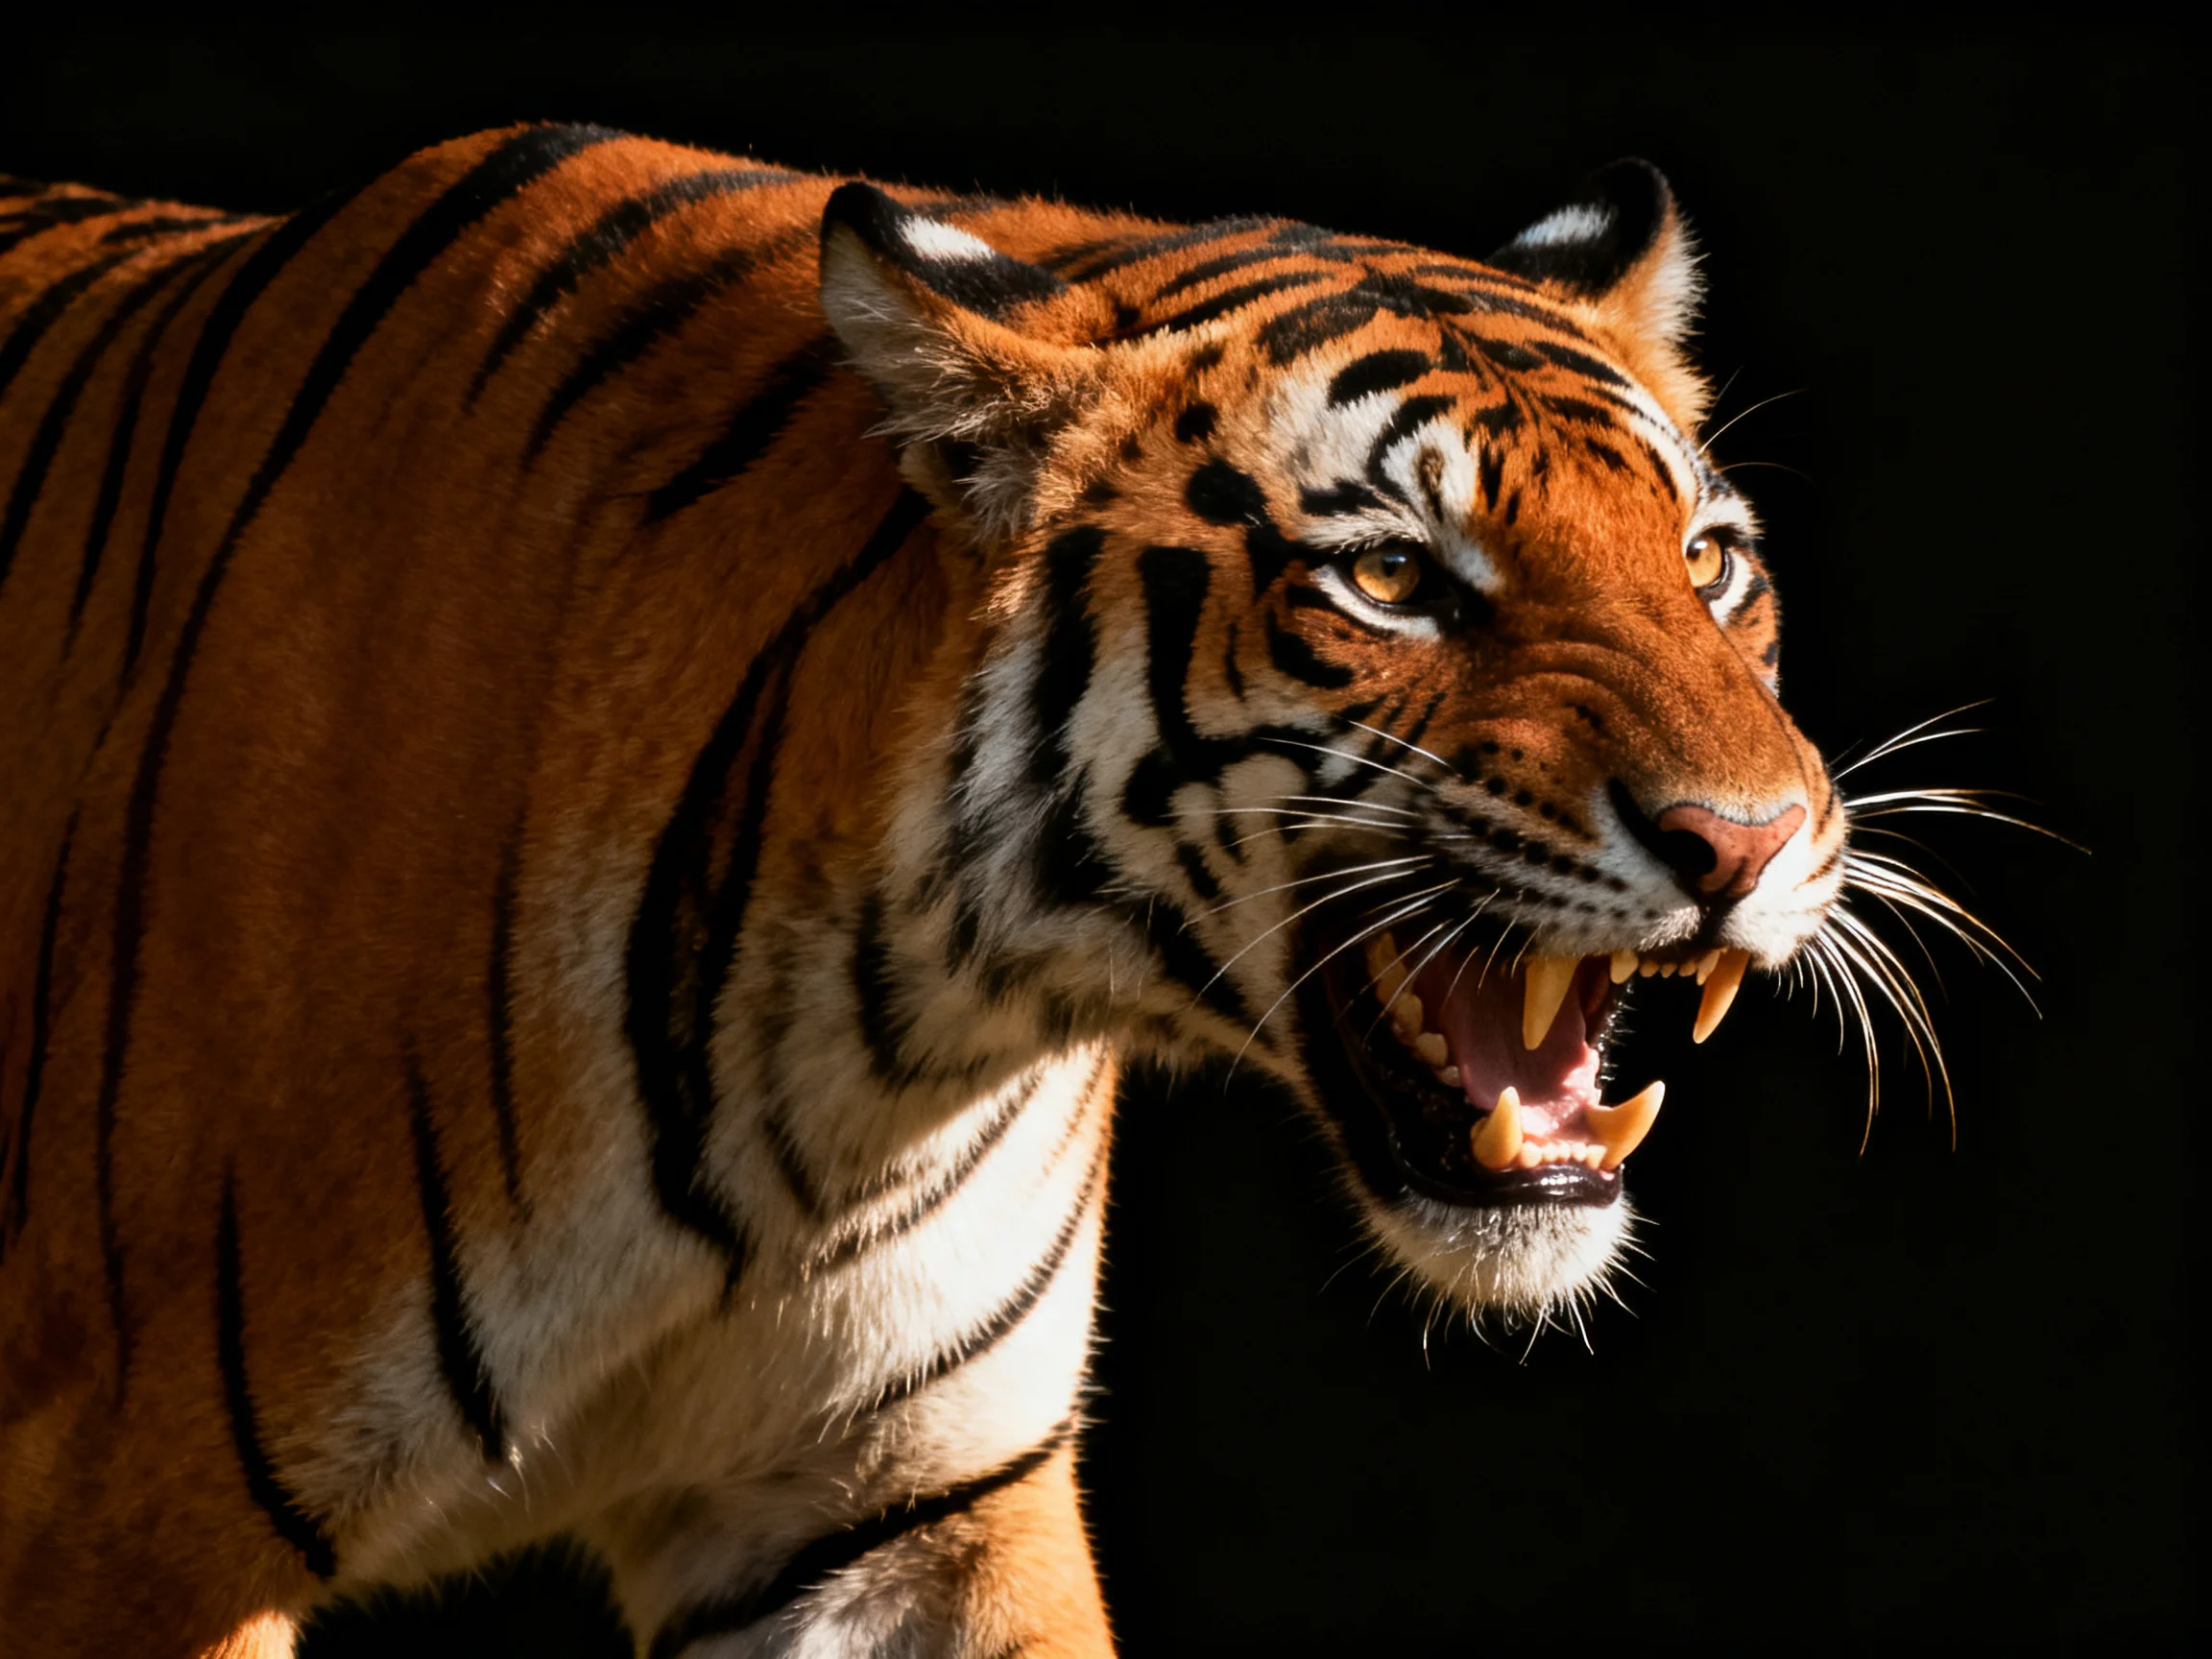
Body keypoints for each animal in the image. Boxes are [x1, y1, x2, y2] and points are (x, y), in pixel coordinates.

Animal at [0, 124, 1845, 1655]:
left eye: (1705, 562)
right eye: (1391, 576)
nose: (1749, 840)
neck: (871, 1042)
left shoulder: (909, 1513)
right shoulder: (138, 1529)